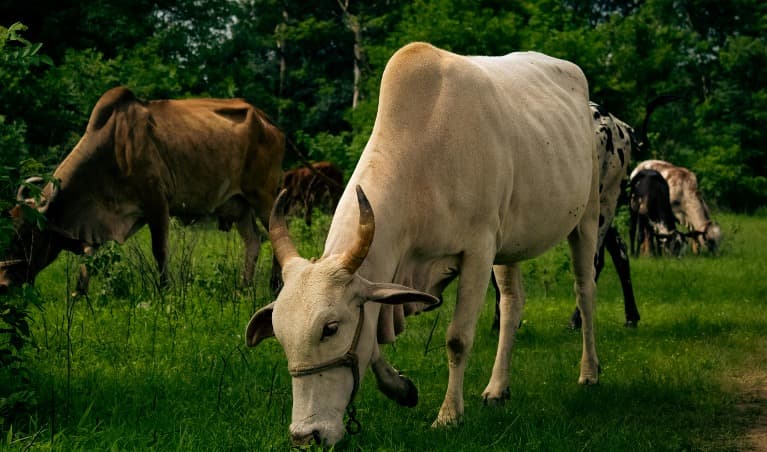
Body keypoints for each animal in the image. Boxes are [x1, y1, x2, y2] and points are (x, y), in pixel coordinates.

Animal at [0, 87, 285, 293]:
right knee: (253, 241)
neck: (110, 150)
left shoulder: (156, 204)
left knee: (275, 231)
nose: (4, 283)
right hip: (240, 205)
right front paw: (79, 293)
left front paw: (165, 291)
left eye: (25, 236)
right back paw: (244, 287)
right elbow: (89, 257)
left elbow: (160, 251)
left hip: (263, 196)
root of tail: (267, 121)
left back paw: (275, 286)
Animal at [244, 42, 600, 446]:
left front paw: (448, 415)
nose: (307, 435)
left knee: (585, 291)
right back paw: (497, 389)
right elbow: (373, 341)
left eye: (330, 328)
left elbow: (457, 339)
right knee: (512, 303)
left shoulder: (478, 251)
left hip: (587, 216)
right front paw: (401, 388)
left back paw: (589, 372)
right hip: (509, 241)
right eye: (281, 335)